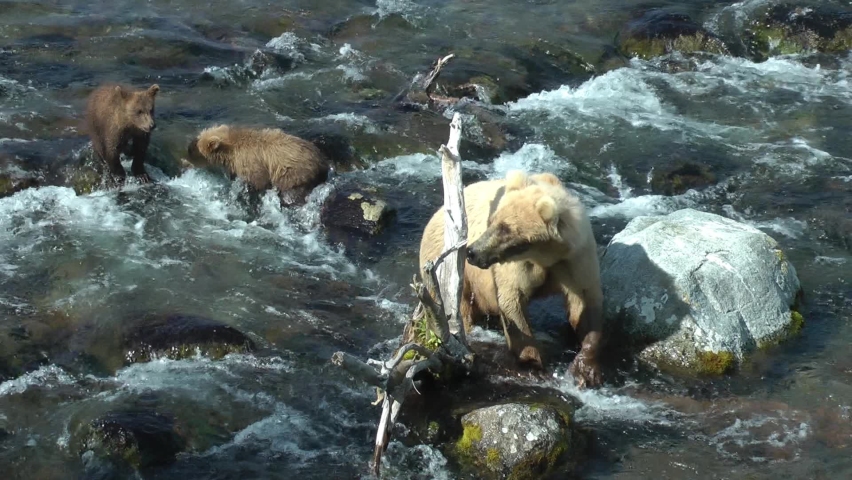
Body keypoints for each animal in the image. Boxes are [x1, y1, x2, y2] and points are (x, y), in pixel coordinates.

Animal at [185, 124, 331, 206]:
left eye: (197, 144)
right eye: (198, 138)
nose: (188, 147)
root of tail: (323, 162)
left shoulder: (252, 164)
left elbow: (258, 181)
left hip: (294, 172)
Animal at [419, 170, 604, 388]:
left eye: (505, 228)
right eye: (492, 221)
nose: (472, 252)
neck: (547, 255)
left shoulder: (576, 261)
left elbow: (585, 303)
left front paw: (586, 369)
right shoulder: (519, 266)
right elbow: (512, 303)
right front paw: (534, 364)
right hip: (448, 270)